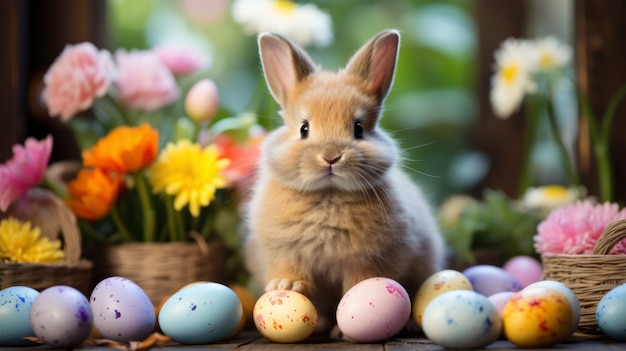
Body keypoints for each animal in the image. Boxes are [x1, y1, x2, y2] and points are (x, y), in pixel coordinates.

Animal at [243, 29, 444, 336]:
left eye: (358, 128)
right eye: (304, 128)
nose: (331, 157)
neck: (329, 194)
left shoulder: (369, 261)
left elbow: (357, 287)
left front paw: (345, 327)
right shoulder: (283, 252)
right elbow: (291, 271)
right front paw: (286, 286)